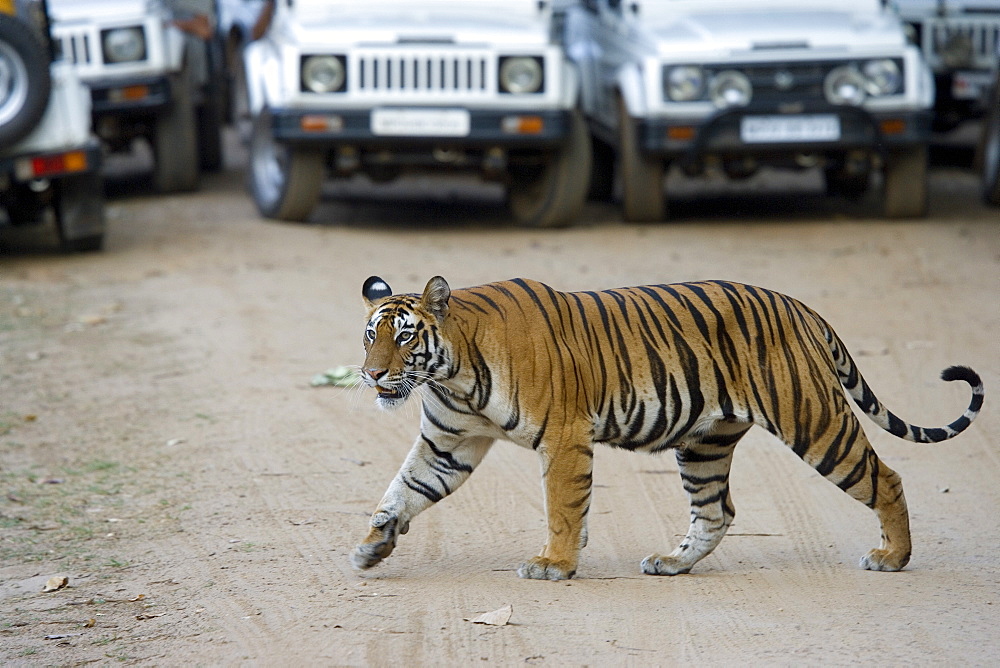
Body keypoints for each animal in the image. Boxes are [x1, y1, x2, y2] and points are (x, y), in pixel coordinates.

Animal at [350, 276, 984, 580]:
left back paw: (893, 557)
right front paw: (373, 546)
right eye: (371, 335)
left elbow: (562, 507)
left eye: (404, 337)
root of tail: (799, 305)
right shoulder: (448, 443)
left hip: (815, 421)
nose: (371, 373)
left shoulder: (564, 437)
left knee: (886, 477)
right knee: (716, 511)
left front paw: (555, 564)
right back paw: (672, 563)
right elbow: (402, 490)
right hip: (705, 444)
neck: (453, 372)